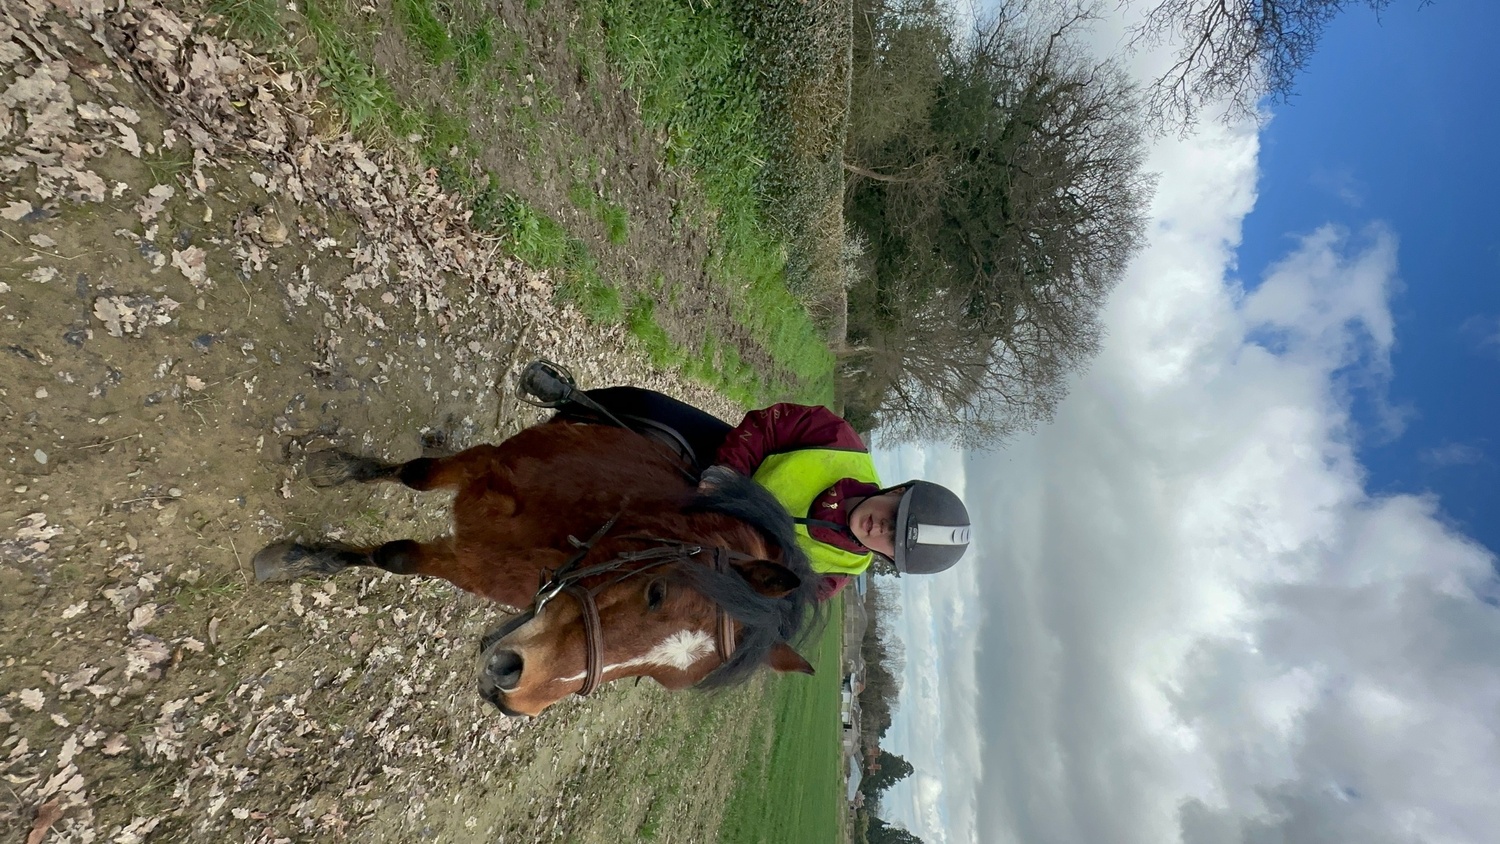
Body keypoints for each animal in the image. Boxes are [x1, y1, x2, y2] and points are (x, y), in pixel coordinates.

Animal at [252, 420, 822, 716]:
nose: (515, 693)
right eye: (656, 592)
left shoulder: (479, 567)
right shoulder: (487, 466)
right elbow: (414, 478)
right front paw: (308, 539)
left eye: (656, 680)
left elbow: (400, 556)